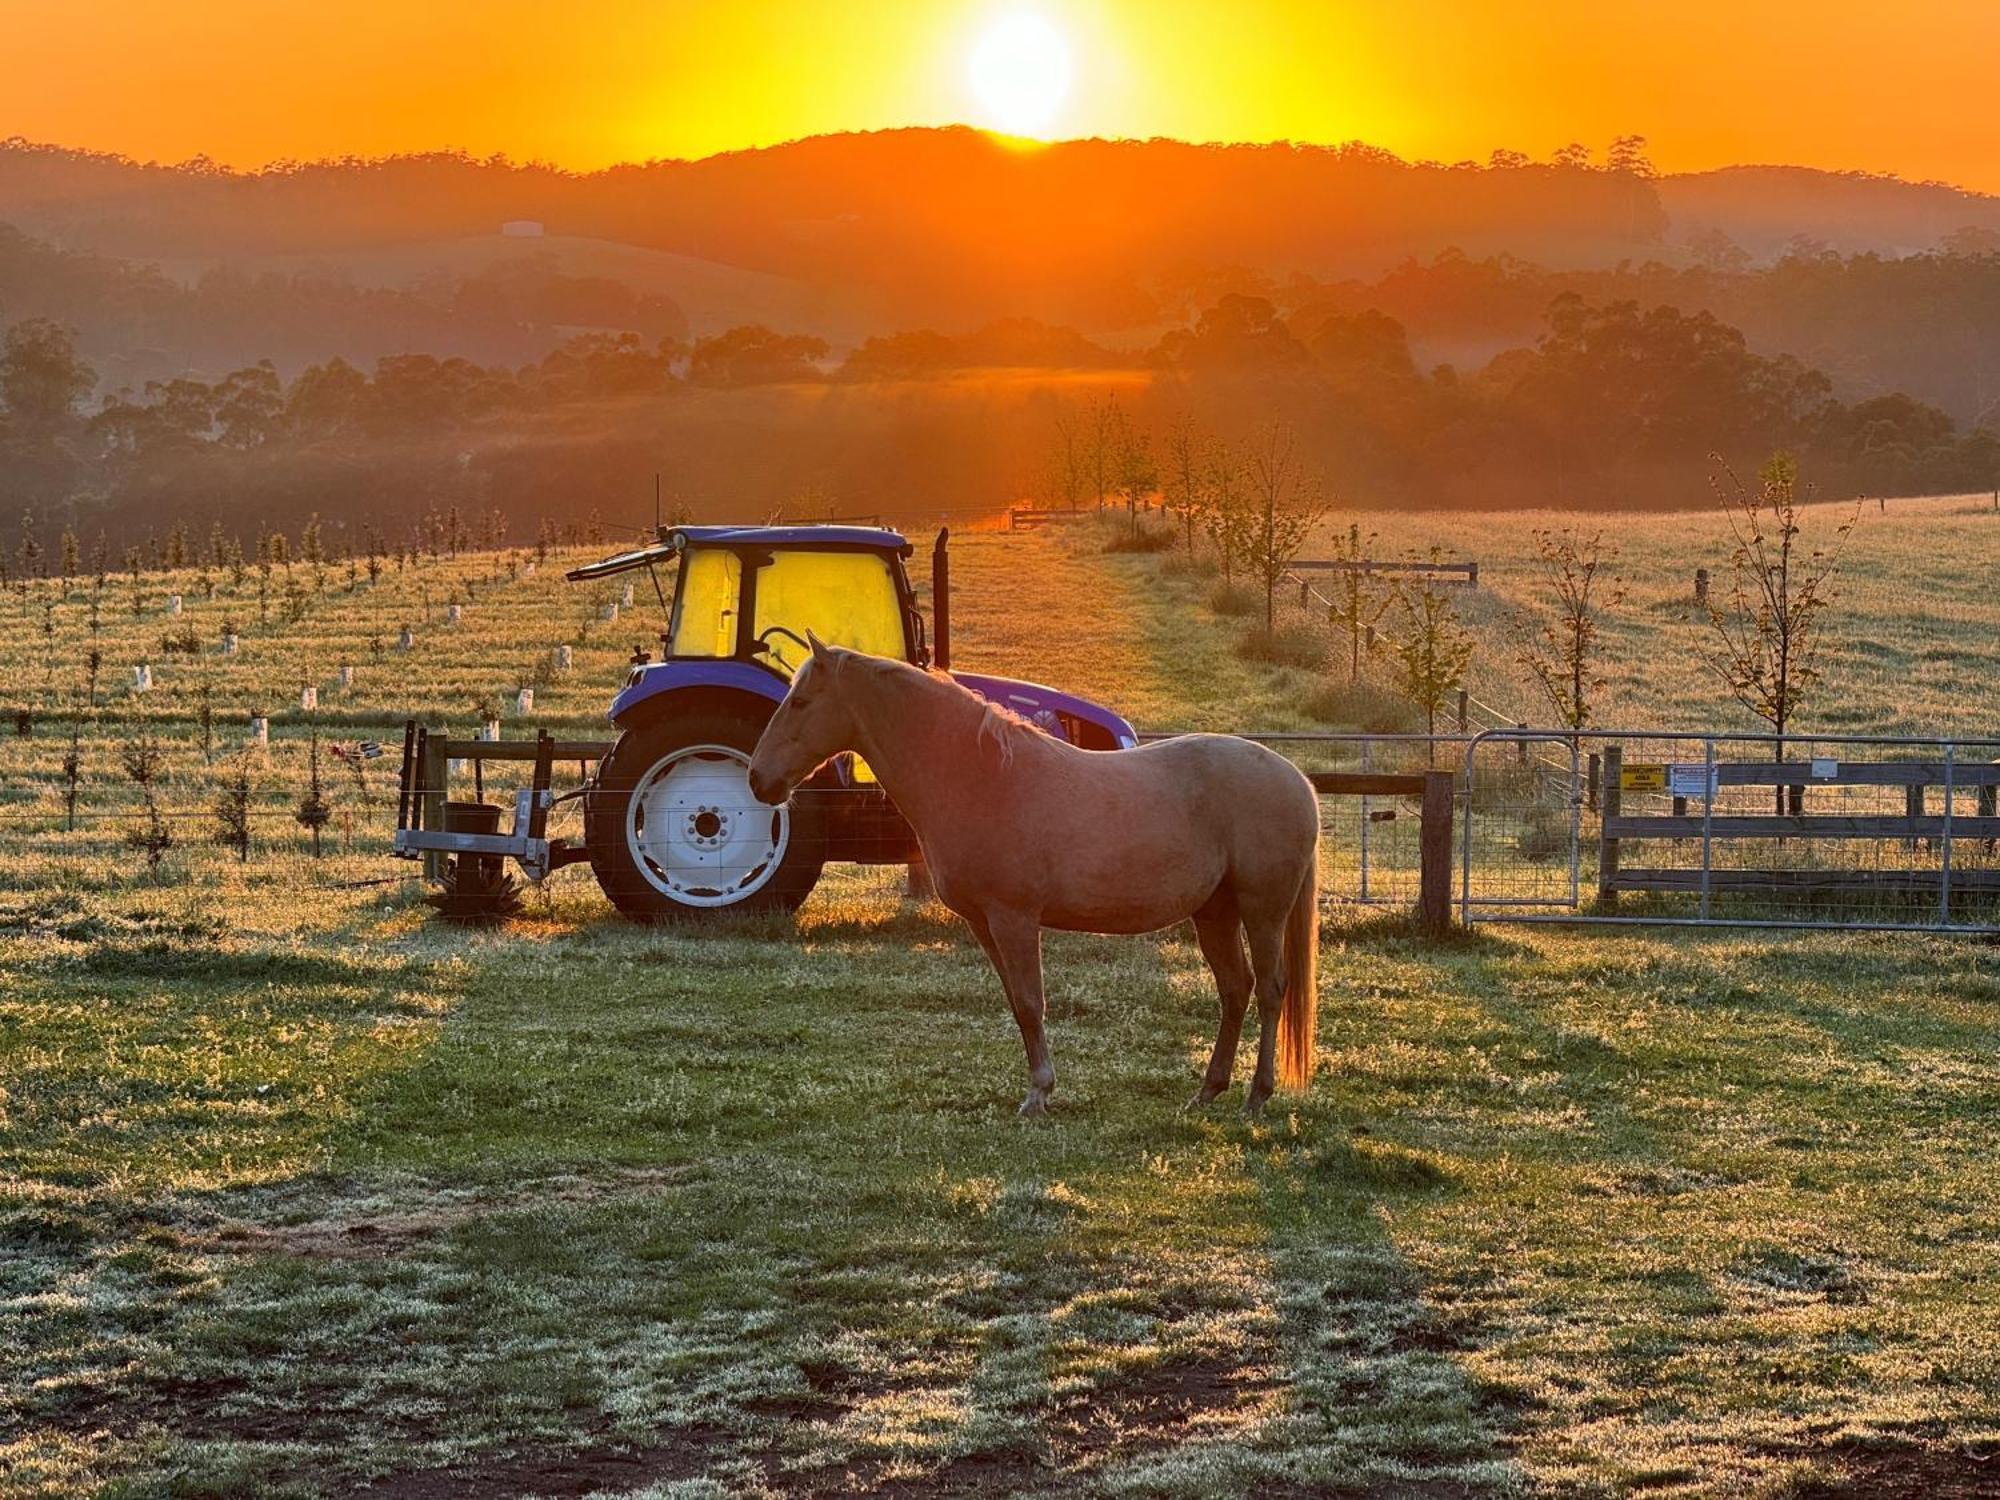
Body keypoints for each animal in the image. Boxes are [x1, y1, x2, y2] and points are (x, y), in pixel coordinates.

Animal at [744, 632, 1320, 1120]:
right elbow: (1017, 1004)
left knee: (1271, 989)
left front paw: (1039, 1094)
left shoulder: (1014, 919)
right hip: (1215, 912)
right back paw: (1208, 1090)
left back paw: (1257, 1096)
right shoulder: (984, 924)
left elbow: (1030, 1001)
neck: (985, 777)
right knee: (1235, 988)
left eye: (801, 702)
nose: (758, 779)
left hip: (1262, 910)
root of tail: (1297, 779)